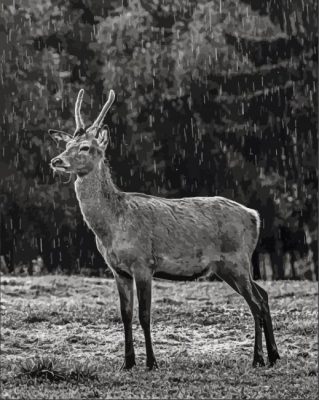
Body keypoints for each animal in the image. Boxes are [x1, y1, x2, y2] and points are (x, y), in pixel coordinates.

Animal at [49, 89, 280, 370]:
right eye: (65, 146)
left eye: (85, 147)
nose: (56, 160)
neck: (111, 227)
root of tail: (254, 216)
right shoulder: (117, 270)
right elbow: (125, 315)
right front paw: (127, 363)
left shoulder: (143, 263)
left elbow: (144, 314)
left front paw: (151, 363)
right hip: (228, 266)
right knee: (264, 295)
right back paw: (274, 355)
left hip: (237, 259)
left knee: (255, 303)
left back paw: (258, 358)